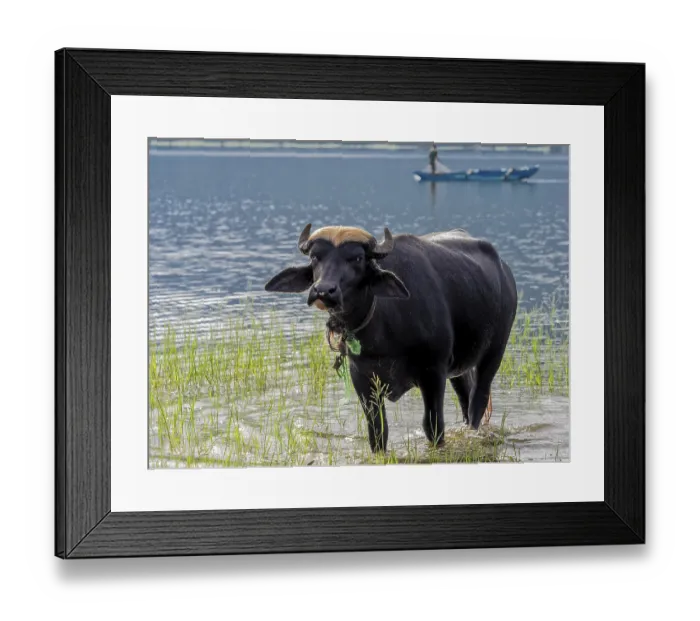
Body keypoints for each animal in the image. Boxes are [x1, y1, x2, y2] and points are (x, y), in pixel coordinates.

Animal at [265, 224, 517, 453]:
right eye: (315, 257)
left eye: (357, 258)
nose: (324, 291)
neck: (383, 332)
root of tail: (505, 271)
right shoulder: (362, 378)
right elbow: (377, 431)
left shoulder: (433, 372)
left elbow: (433, 427)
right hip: (458, 366)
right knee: (465, 396)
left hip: (495, 351)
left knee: (478, 399)